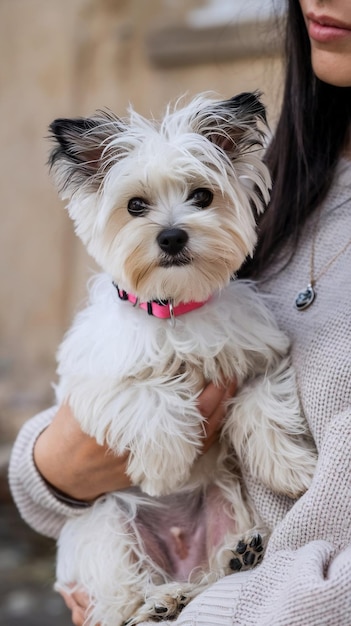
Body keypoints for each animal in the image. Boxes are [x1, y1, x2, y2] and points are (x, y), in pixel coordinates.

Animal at [48, 92, 316, 624]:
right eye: (135, 205)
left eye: (202, 196)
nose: (172, 237)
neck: (174, 307)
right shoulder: (93, 383)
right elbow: (151, 396)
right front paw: (166, 466)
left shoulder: (260, 357)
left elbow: (261, 407)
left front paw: (290, 468)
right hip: (107, 525)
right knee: (120, 597)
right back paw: (154, 602)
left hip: (223, 509)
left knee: (207, 576)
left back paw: (231, 560)